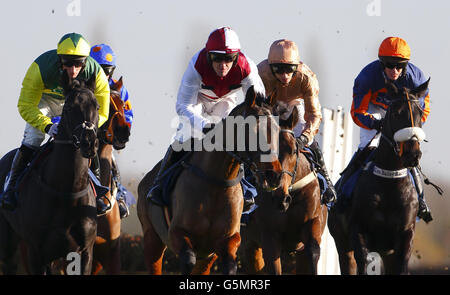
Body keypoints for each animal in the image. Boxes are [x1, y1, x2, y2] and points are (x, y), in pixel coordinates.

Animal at [0, 74, 99, 276]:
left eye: (97, 107)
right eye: (69, 107)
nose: (89, 142)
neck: (67, 190)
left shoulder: (85, 252)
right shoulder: (36, 251)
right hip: (8, 242)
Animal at [136, 87, 282, 276]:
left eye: (278, 129)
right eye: (253, 129)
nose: (274, 175)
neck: (216, 183)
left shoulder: (227, 241)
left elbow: (230, 265)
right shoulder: (177, 233)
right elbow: (187, 260)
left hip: (206, 258)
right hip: (151, 239)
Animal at [328, 78, 430, 276]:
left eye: (420, 113)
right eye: (397, 113)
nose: (413, 154)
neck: (389, 183)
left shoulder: (405, 236)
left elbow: (402, 264)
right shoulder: (358, 231)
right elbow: (363, 262)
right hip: (342, 244)